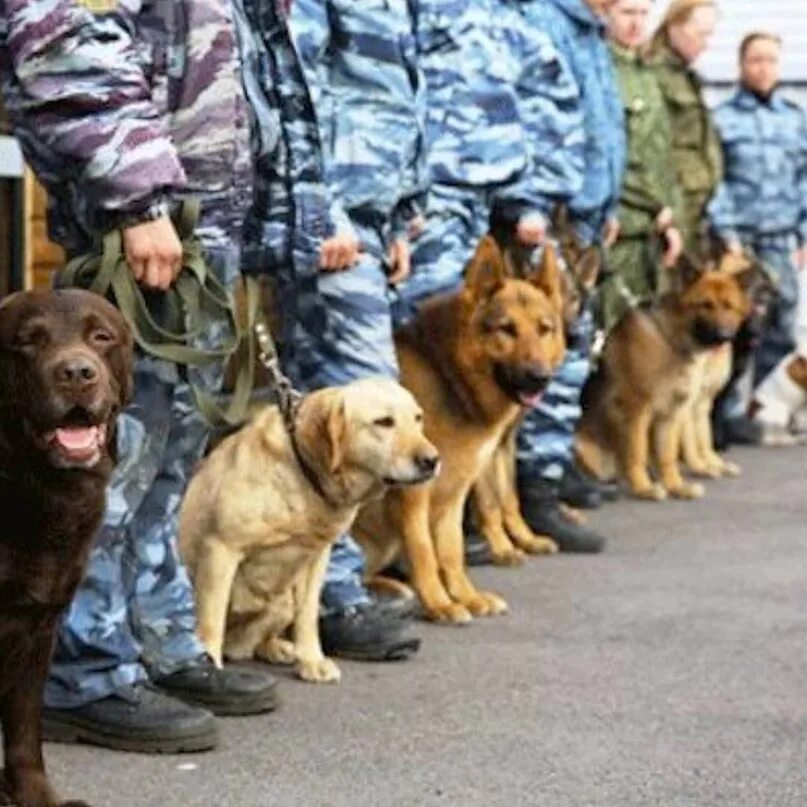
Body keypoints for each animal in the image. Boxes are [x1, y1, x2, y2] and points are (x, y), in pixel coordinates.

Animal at [354, 237, 568, 620]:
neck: (450, 374)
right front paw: (440, 604)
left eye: (544, 329)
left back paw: (391, 588)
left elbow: (452, 552)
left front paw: (466, 597)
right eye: (507, 329)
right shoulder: (415, 495)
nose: (540, 378)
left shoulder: (456, 490)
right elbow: (425, 552)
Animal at [576, 256, 756, 502]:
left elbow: (668, 455)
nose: (724, 336)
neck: (670, 340)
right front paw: (644, 488)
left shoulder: (673, 414)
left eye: (729, 306)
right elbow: (637, 452)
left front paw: (676, 486)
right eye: (705, 305)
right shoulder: (638, 411)